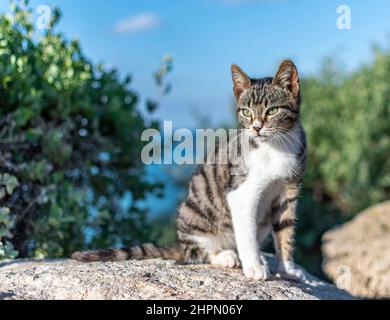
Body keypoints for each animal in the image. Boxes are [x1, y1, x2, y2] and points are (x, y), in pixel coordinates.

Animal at [71, 60, 308, 282]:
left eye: (272, 110)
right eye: (246, 112)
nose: (256, 128)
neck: (276, 147)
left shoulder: (288, 192)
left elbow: (286, 230)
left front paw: (288, 269)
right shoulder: (241, 192)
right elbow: (246, 233)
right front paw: (255, 266)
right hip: (192, 213)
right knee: (196, 253)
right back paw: (226, 256)